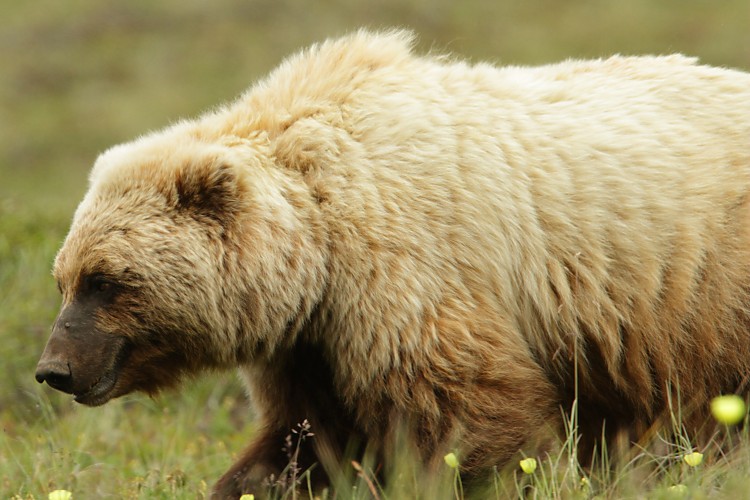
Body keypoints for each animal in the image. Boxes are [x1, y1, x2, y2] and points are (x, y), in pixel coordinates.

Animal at [35, 29, 750, 497]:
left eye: (106, 282)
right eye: (65, 279)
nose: (54, 370)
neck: (317, 244)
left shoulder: (407, 267)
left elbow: (471, 415)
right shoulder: (312, 340)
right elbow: (307, 441)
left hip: (711, 288)